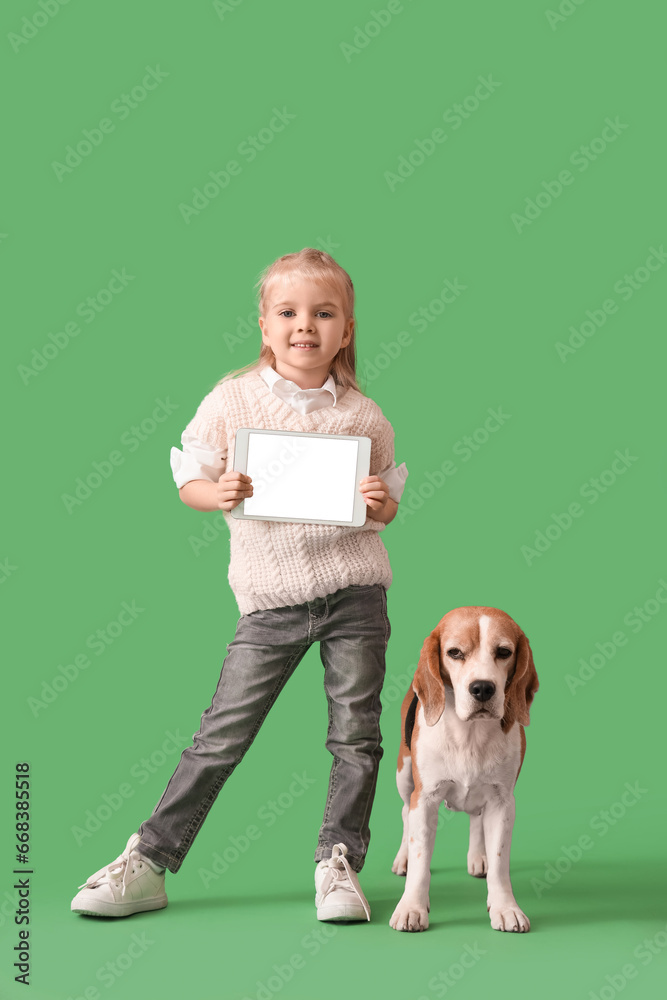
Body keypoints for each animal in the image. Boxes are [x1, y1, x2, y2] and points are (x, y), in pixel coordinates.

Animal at [392, 604, 536, 932]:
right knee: (406, 814)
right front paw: (411, 907)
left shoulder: (502, 801)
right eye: (455, 653)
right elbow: (421, 860)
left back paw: (478, 856)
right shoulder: (425, 798)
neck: (470, 735)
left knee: (476, 819)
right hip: (404, 776)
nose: (482, 688)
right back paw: (403, 857)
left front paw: (505, 908)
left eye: (504, 652)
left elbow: (500, 863)